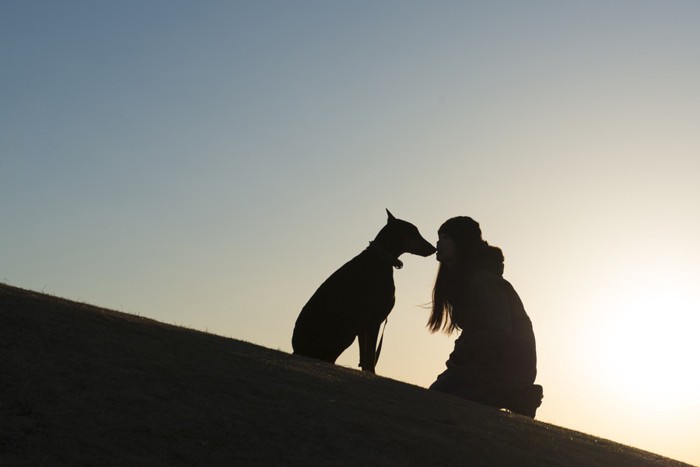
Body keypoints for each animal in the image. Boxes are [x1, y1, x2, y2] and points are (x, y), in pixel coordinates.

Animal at [292, 210, 434, 374]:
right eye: (414, 233)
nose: (434, 248)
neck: (382, 258)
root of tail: (297, 349)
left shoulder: (362, 326)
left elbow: (364, 356)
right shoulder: (375, 320)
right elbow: (370, 355)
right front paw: (371, 373)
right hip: (346, 333)